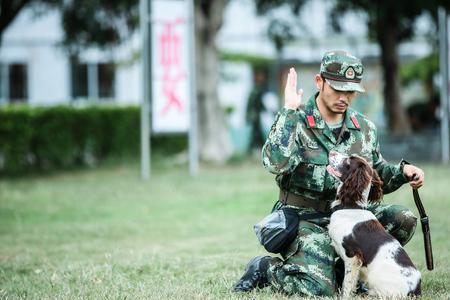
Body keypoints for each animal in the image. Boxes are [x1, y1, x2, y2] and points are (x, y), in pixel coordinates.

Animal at [326, 151, 420, 298]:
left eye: (349, 160)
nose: (332, 152)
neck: (351, 206)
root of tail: (415, 290)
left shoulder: (353, 256)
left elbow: (347, 283)